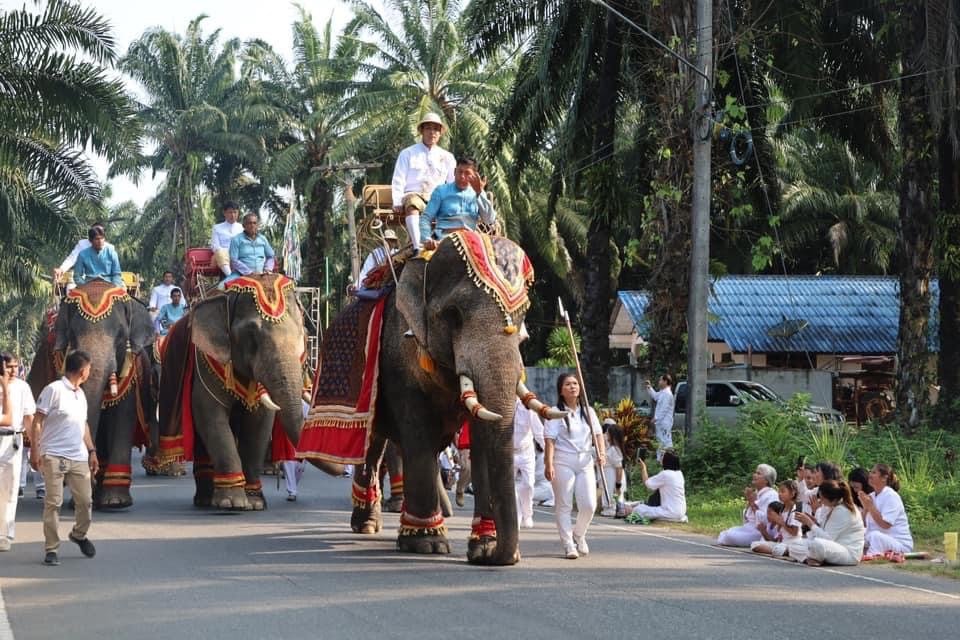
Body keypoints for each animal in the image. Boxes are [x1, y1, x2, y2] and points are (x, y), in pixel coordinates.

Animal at [158, 272, 306, 512]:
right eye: (252, 334)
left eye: (301, 335)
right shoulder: (206, 362)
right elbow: (211, 417)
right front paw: (232, 503)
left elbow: (258, 425)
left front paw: (255, 503)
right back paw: (206, 500)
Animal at [346, 230, 564, 564]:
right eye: (454, 315)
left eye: (523, 315)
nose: (499, 557)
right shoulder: (400, 354)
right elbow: (418, 434)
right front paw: (427, 543)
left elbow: (481, 437)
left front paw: (484, 547)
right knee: (371, 445)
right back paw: (368, 524)